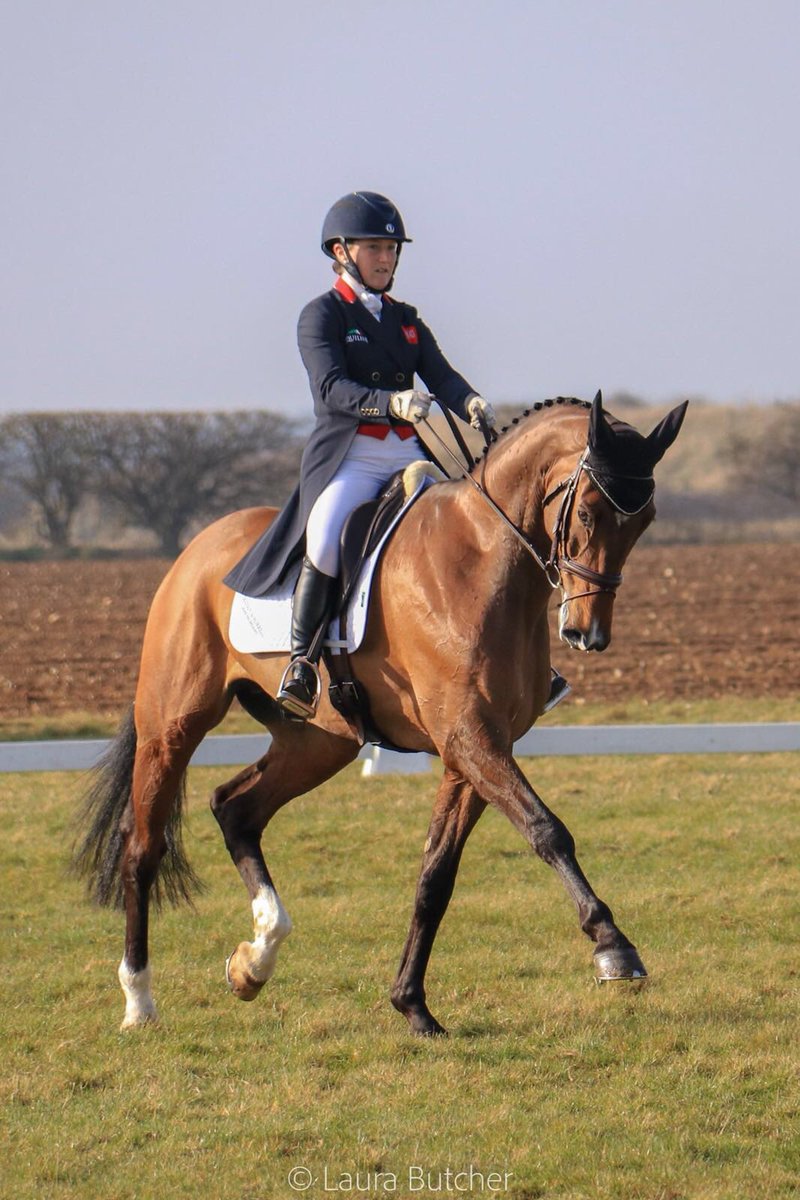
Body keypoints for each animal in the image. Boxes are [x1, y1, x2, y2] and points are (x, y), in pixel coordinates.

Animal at [75, 392, 688, 1036]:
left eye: (644, 522)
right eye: (589, 514)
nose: (586, 634)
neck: (483, 563)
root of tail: (197, 549)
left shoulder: (472, 751)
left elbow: (436, 875)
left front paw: (412, 1004)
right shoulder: (470, 739)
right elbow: (548, 831)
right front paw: (613, 947)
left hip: (320, 740)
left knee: (236, 809)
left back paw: (255, 960)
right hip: (172, 726)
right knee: (142, 849)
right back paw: (139, 1000)